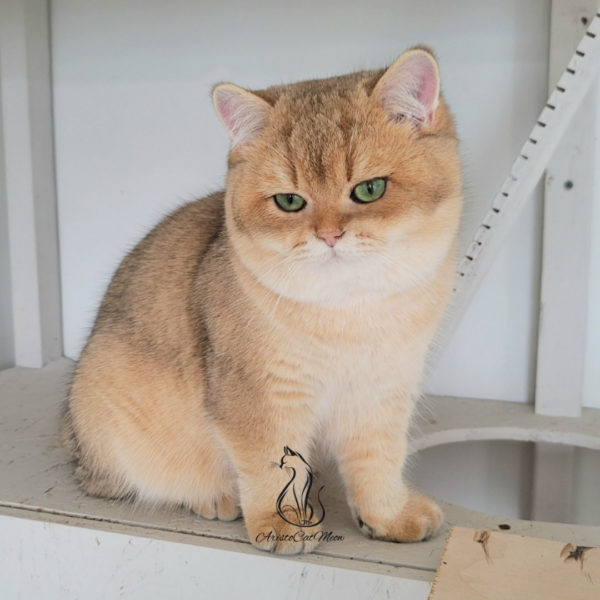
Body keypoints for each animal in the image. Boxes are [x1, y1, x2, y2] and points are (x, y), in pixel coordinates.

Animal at [61, 44, 462, 556]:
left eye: (370, 189)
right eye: (289, 202)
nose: (329, 236)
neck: (348, 312)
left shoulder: (382, 393)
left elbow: (379, 461)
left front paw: (387, 517)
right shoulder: (257, 396)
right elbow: (268, 464)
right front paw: (280, 524)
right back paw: (214, 497)